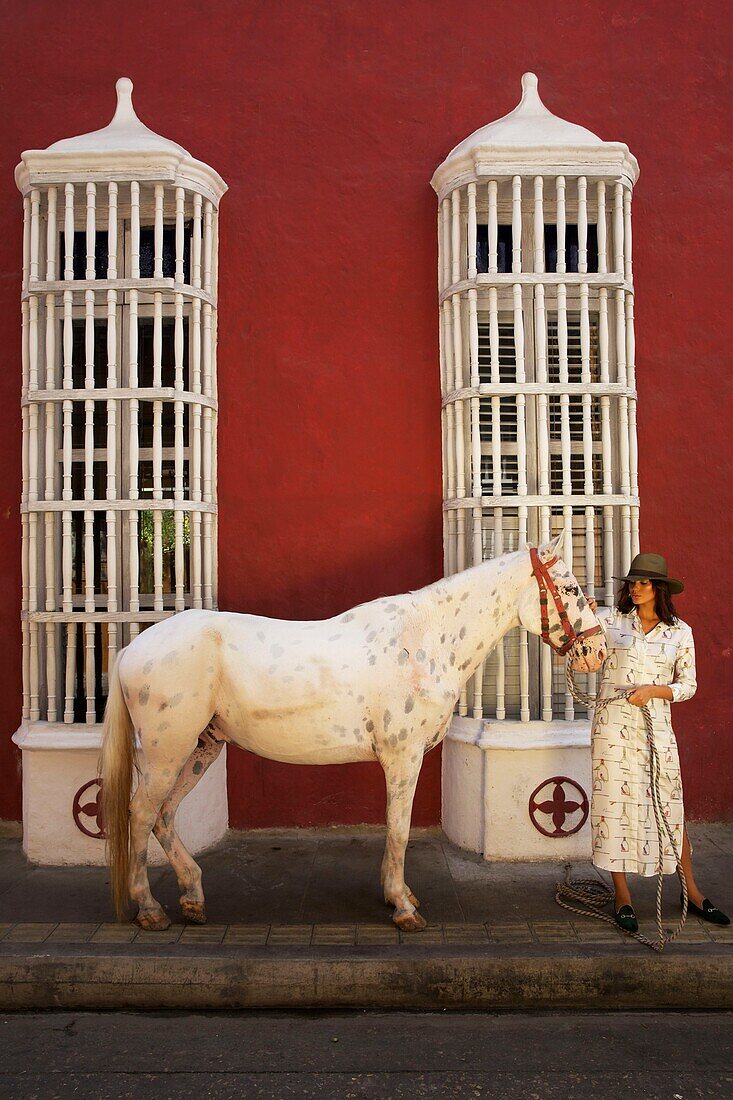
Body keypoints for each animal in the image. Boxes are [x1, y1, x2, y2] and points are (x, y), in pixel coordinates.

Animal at [102, 536, 603, 932]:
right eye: (571, 588)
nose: (596, 650)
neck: (423, 641)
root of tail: (134, 648)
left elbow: (394, 827)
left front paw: (396, 894)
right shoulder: (404, 756)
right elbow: (399, 828)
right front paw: (403, 906)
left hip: (199, 749)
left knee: (164, 816)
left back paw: (192, 896)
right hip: (167, 752)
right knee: (142, 813)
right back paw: (149, 909)